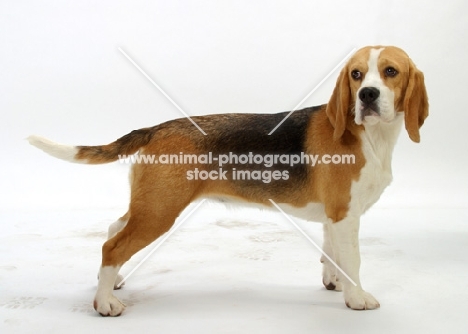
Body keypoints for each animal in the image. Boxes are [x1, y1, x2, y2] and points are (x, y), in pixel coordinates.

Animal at [26, 45, 428, 316]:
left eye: (390, 71)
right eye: (356, 75)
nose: (367, 95)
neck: (370, 135)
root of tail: (156, 128)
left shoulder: (335, 216)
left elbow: (332, 254)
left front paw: (335, 284)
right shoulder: (346, 216)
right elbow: (354, 260)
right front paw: (357, 298)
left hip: (149, 204)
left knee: (114, 228)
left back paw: (111, 282)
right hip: (159, 211)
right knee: (112, 246)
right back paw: (105, 301)